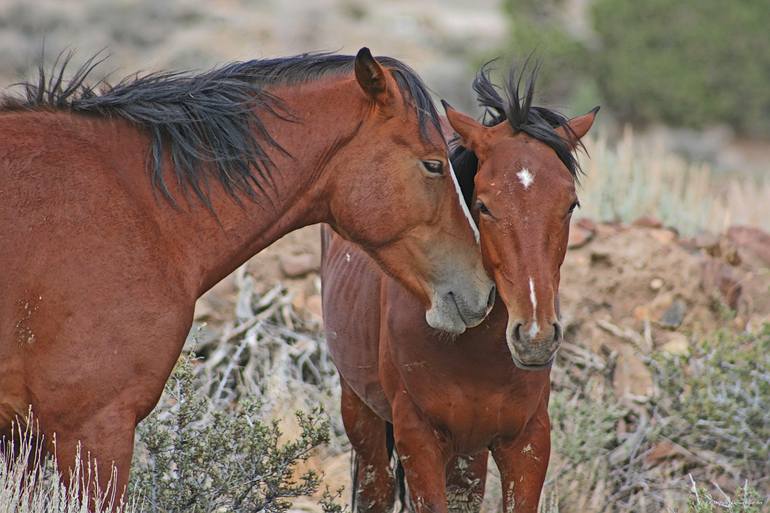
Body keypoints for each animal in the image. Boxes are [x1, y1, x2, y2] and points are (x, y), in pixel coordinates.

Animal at [320, 64, 596, 512]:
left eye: (570, 205)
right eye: (483, 205)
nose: (535, 337)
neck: (474, 349)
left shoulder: (527, 442)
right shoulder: (419, 441)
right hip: (361, 414)